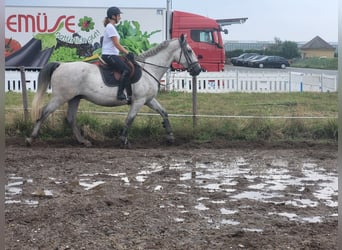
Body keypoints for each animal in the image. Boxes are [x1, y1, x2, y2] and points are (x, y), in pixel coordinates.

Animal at [27, 33, 203, 146]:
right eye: (189, 51)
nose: (198, 70)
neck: (149, 70)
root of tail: (61, 65)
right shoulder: (139, 101)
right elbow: (130, 119)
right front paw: (123, 140)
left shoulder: (149, 100)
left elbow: (164, 113)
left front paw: (170, 137)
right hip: (60, 97)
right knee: (45, 112)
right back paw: (30, 138)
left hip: (74, 98)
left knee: (70, 118)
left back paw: (83, 141)